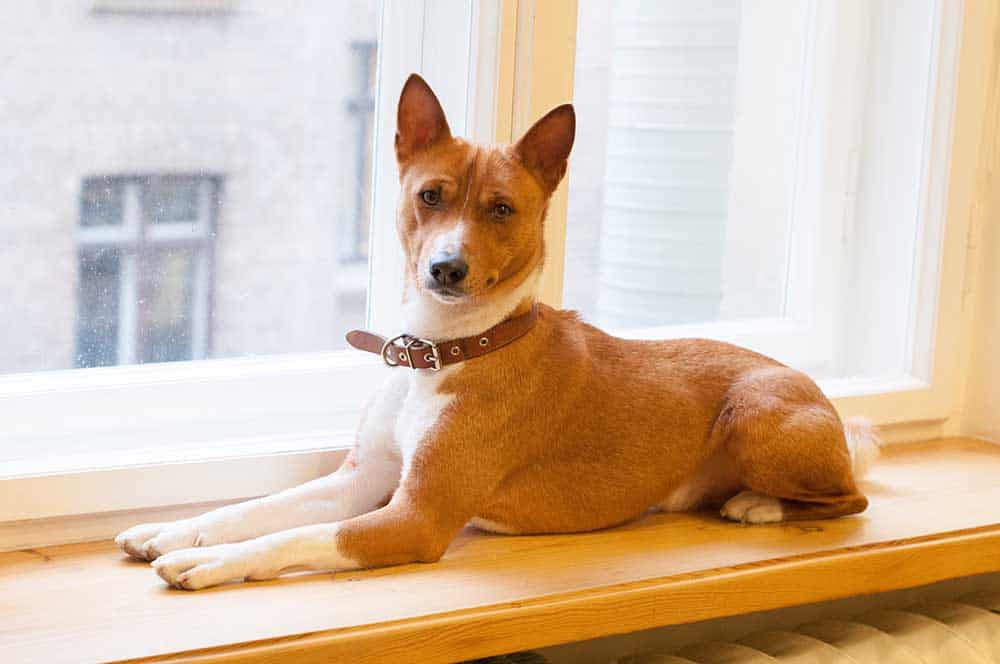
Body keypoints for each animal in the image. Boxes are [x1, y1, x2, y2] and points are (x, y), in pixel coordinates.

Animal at [117, 75, 880, 588]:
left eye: (502, 209)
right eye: (430, 196)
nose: (446, 268)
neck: (441, 352)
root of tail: (822, 398)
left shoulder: (415, 517)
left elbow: (293, 536)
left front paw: (209, 560)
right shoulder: (364, 480)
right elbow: (258, 508)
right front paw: (172, 528)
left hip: (755, 414)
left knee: (850, 497)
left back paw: (759, 505)